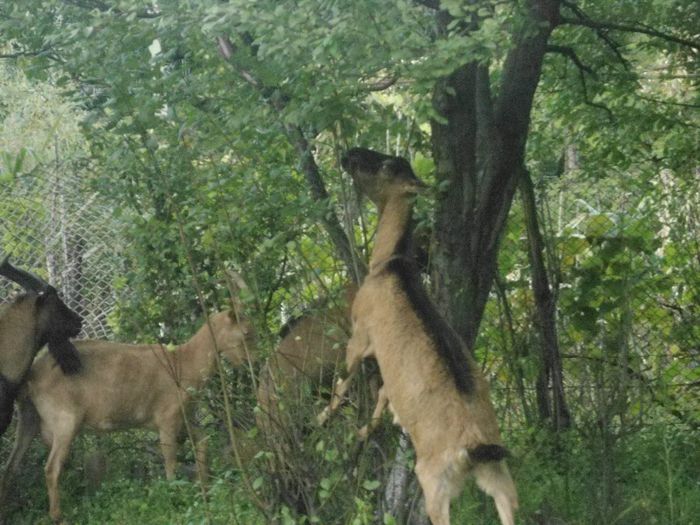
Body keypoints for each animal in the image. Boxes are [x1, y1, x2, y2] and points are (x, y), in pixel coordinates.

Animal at [318, 147, 520, 524]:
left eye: (385, 165)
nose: (349, 154)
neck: (390, 264)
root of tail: (475, 449)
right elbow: (383, 393)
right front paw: (365, 430)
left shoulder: (360, 333)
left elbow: (345, 377)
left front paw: (324, 417)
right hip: (499, 478)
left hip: (434, 479)